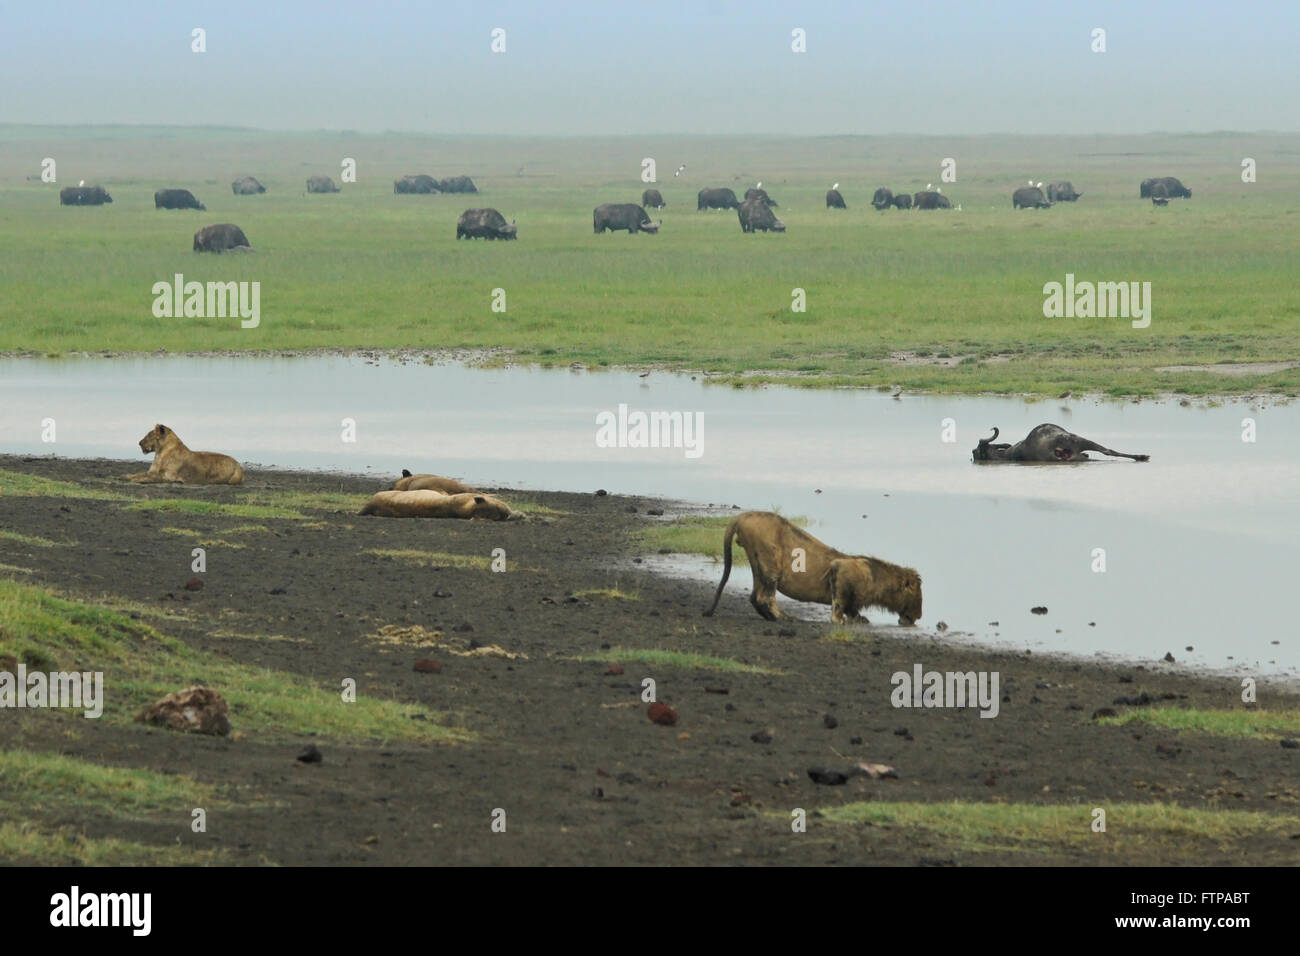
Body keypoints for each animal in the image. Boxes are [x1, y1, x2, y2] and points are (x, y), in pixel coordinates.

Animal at [702, 512, 925, 624]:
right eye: (916, 594)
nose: (919, 616)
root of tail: (741, 516)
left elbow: (852, 607)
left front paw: (860, 619)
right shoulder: (840, 569)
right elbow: (839, 604)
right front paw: (839, 621)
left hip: (759, 567)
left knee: (754, 596)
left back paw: (771, 617)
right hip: (769, 561)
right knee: (765, 596)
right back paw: (785, 618)